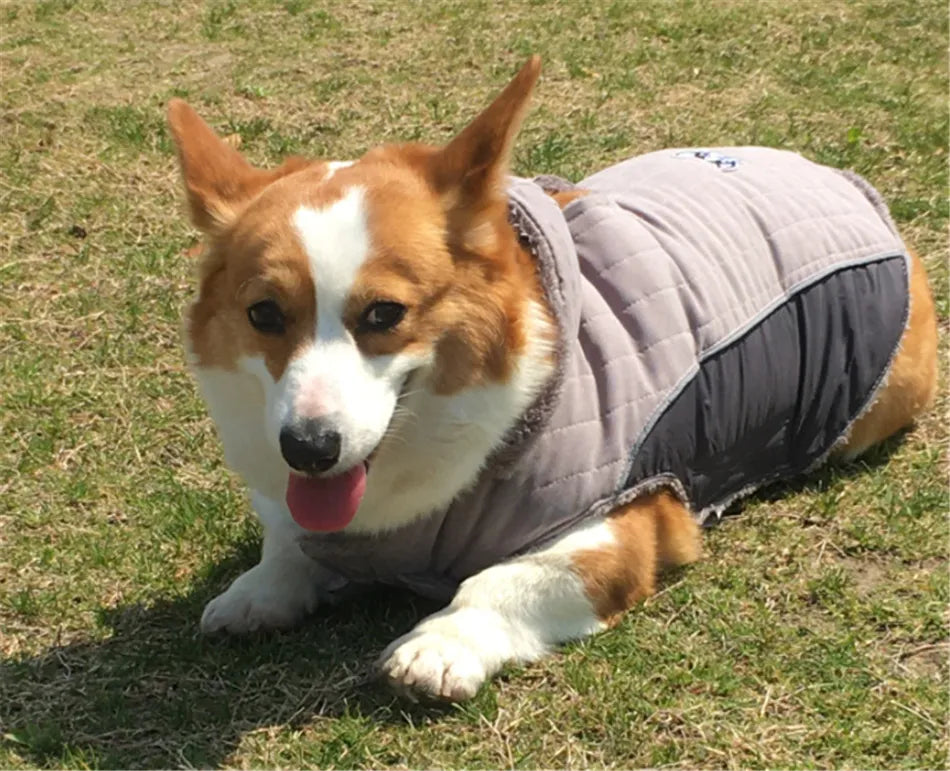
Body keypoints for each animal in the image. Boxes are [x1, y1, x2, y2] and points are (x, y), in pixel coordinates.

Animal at [167, 57, 940, 704]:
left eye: (384, 313)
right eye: (264, 314)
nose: (308, 448)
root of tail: (840, 180)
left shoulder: (623, 519)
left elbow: (500, 580)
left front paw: (437, 646)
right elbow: (285, 541)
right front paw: (257, 589)